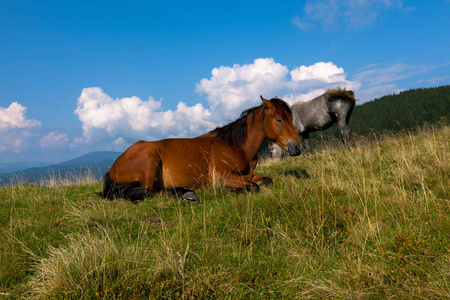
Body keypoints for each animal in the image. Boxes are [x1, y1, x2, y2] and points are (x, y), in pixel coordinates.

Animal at [101, 95, 302, 204]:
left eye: (291, 118)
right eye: (279, 120)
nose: (297, 147)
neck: (235, 146)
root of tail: (113, 166)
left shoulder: (248, 175)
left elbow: (265, 180)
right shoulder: (223, 176)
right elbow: (254, 187)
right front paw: (230, 190)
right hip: (150, 158)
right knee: (148, 191)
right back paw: (185, 193)